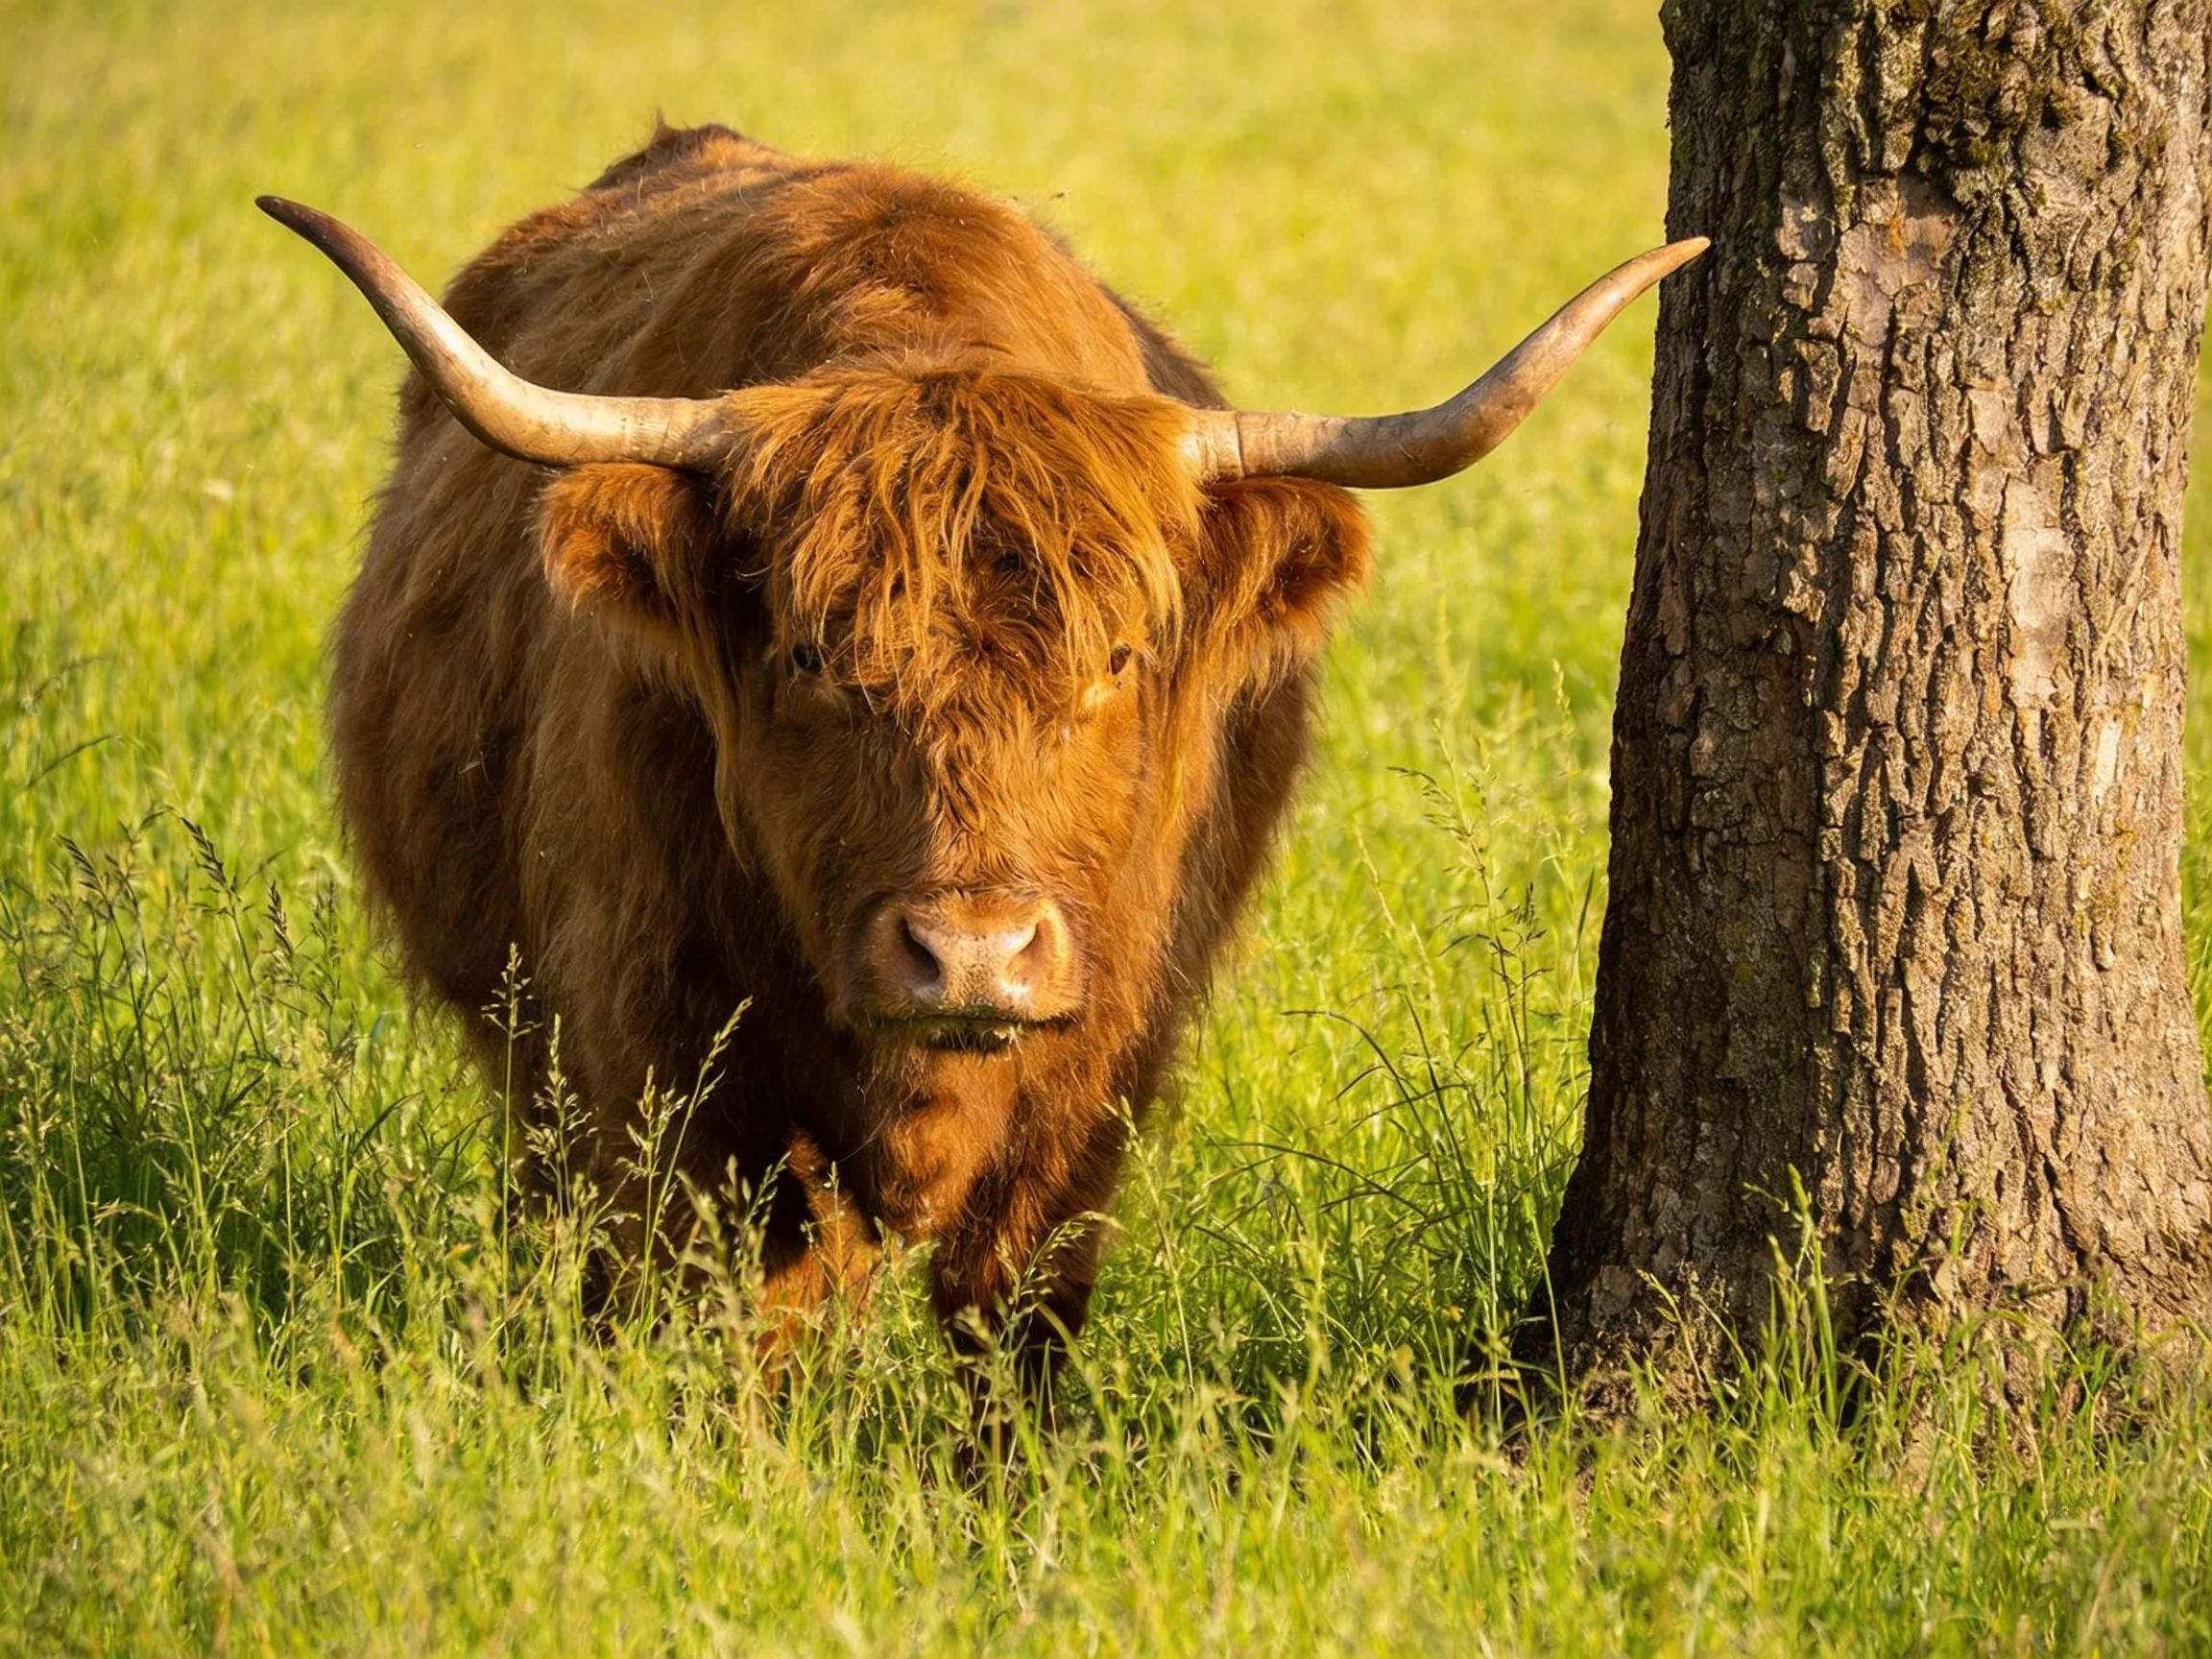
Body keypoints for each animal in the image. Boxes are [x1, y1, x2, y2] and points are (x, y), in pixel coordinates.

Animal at [264, 123, 1701, 1379]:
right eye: (809, 655)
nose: (971, 956)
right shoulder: (660, 1052)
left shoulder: (1101, 1061)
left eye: (1116, 659)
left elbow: (1012, 1318)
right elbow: (735, 1312)